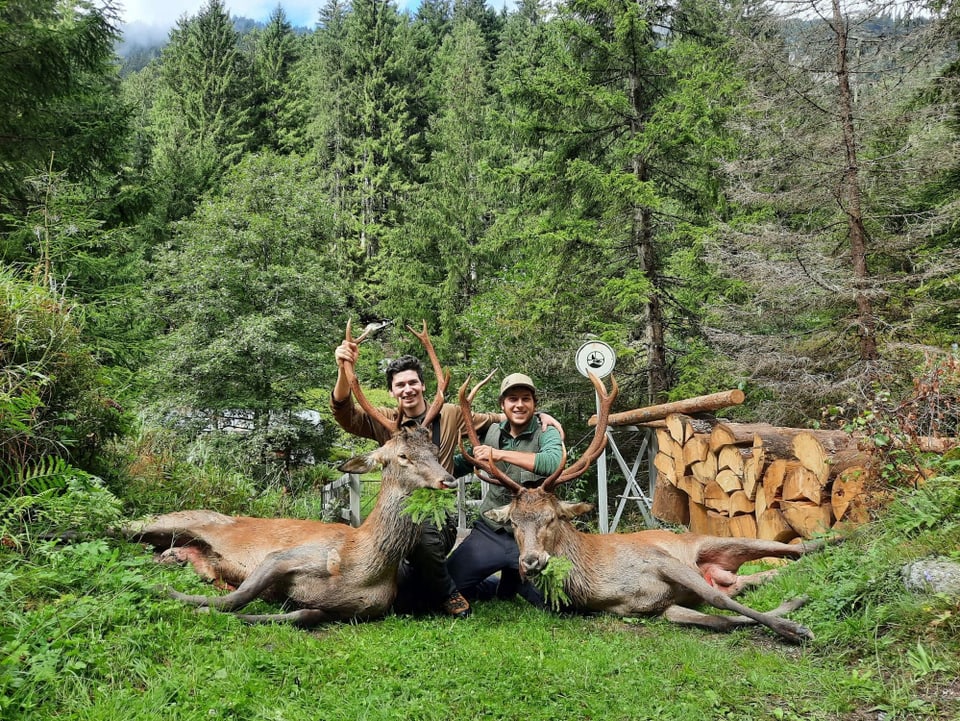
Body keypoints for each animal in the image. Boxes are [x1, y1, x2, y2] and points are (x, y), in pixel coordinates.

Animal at [458, 372, 832, 640]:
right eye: (514, 523)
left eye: (552, 518)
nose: (531, 561)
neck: (600, 584)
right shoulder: (657, 609)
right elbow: (722, 619)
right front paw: (795, 605)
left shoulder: (660, 559)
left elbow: (718, 602)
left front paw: (798, 629)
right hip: (727, 572)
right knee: (758, 576)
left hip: (710, 540)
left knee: (796, 548)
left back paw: (839, 542)